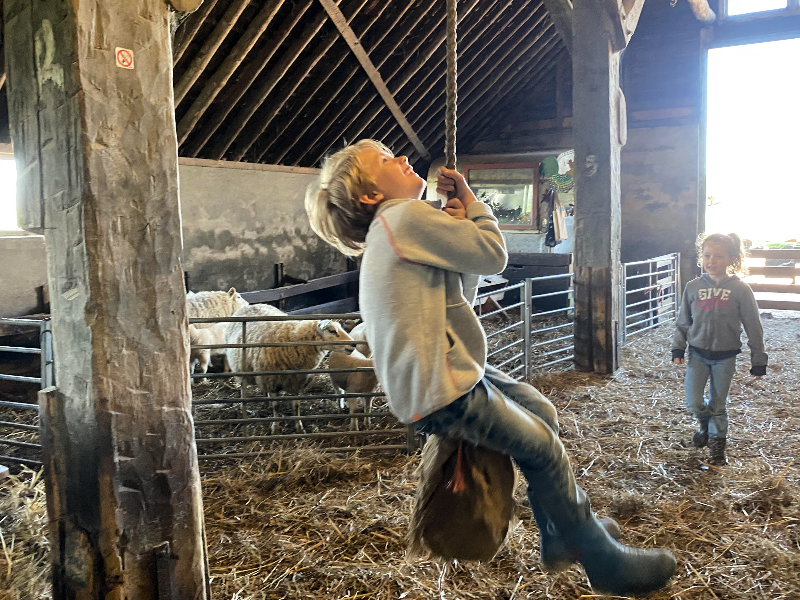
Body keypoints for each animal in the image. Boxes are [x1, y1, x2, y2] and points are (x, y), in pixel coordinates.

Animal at [222, 304, 354, 432]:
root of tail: (249, 306)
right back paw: (243, 406)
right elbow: (277, 407)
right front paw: (275, 427)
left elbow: (296, 406)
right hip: (241, 370)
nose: (353, 344)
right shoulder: (271, 381)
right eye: (332, 331)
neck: (291, 340)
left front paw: (299, 427)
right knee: (243, 388)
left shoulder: (296, 381)